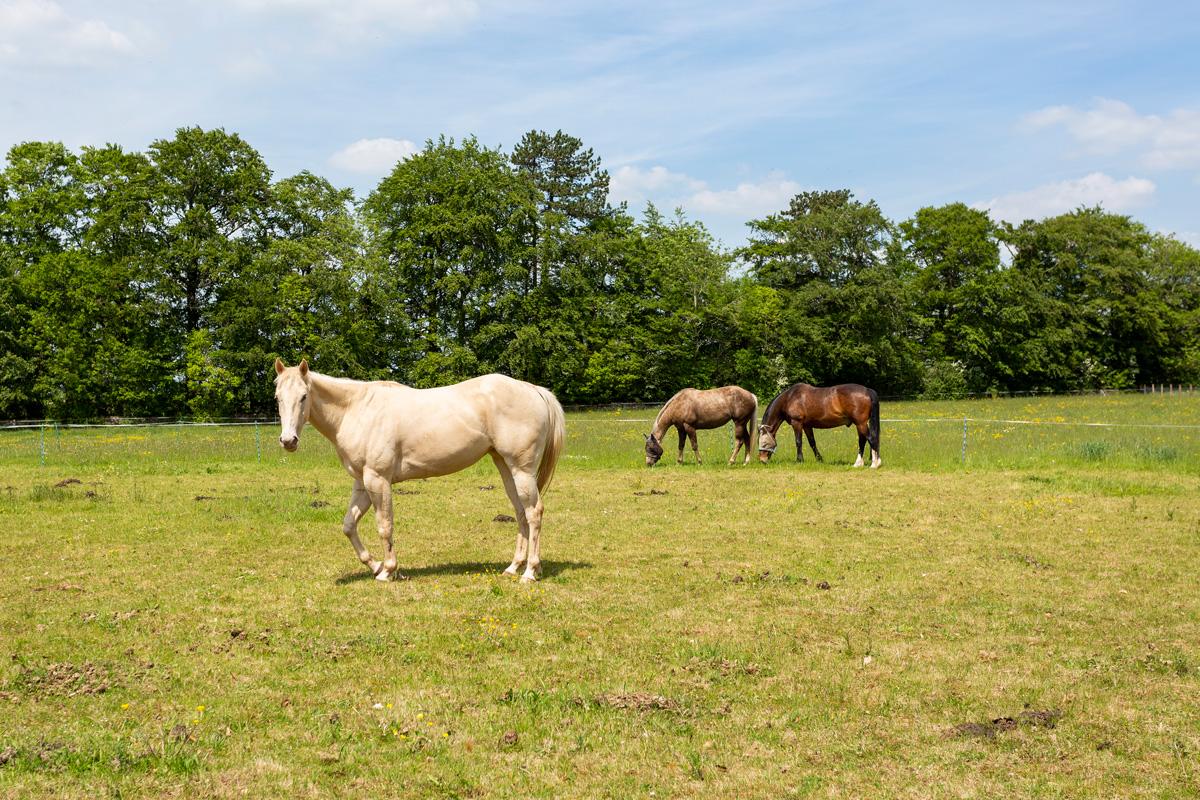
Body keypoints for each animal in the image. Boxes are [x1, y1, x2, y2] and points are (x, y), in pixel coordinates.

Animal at [274, 362, 564, 582]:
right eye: (278, 398)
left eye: (303, 396)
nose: (288, 441)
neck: (357, 410)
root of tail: (533, 390)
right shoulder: (362, 483)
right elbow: (349, 525)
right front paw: (376, 565)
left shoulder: (378, 480)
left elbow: (385, 526)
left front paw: (388, 571)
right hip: (506, 467)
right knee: (521, 513)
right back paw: (513, 567)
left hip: (521, 469)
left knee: (534, 513)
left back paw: (529, 572)